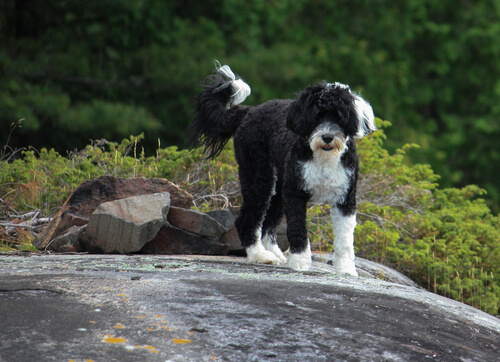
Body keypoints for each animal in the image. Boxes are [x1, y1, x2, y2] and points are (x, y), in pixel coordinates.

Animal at [191, 63, 376, 276]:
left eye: (339, 117)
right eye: (316, 116)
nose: (328, 137)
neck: (323, 158)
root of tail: (249, 111)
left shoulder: (345, 199)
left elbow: (345, 239)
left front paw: (346, 269)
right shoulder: (295, 193)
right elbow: (297, 229)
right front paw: (301, 262)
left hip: (278, 188)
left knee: (268, 223)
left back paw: (274, 253)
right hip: (258, 176)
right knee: (247, 220)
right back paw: (260, 255)